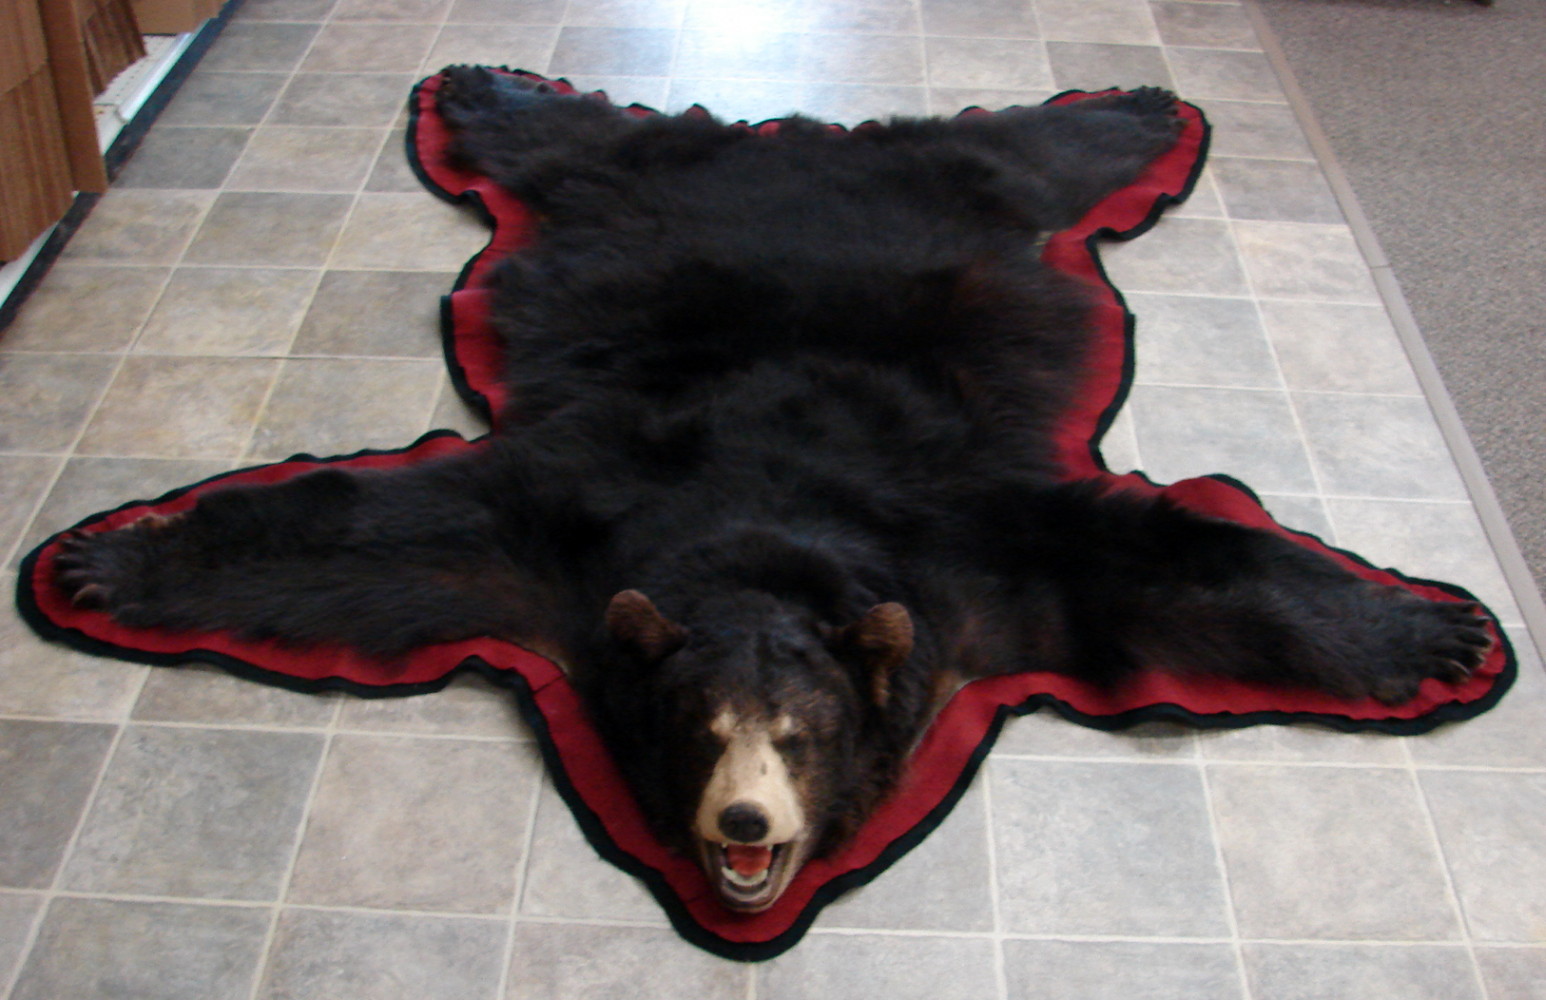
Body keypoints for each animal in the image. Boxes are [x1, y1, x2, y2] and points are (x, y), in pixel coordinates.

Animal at [52, 68, 1493, 914]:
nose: (743, 824)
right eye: (696, 728)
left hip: (953, 192)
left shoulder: (972, 541)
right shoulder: (561, 534)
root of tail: (787, 138)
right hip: (623, 189)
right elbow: (377, 537)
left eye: (801, 732)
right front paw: (107, 560)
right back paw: (489, 85)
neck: (756, 537)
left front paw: (1433, 629)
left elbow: (1154, 561)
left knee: (1027, 154)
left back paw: (1134, 107)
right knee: (569, 145)